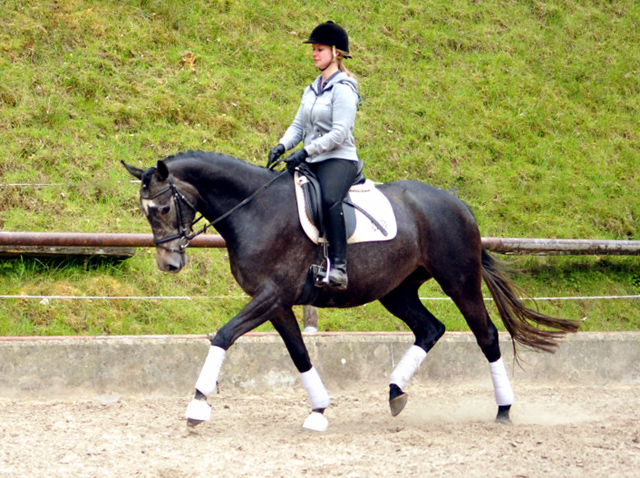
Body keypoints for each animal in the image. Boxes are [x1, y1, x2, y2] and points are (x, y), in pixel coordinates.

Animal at [121, 151, 580, 432]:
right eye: (145, 212)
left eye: (163, 207)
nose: (169, 264)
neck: (254, 209)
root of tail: (458, 204)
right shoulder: (277, 304)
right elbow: (299, 355)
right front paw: (319, 411)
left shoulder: (271, 295)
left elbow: (223, 335)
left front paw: (198, 404)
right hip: (397, 291)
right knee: (430, 329)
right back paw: (396, 392)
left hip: (459, 280)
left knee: (486, 336)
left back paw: (503, 409)